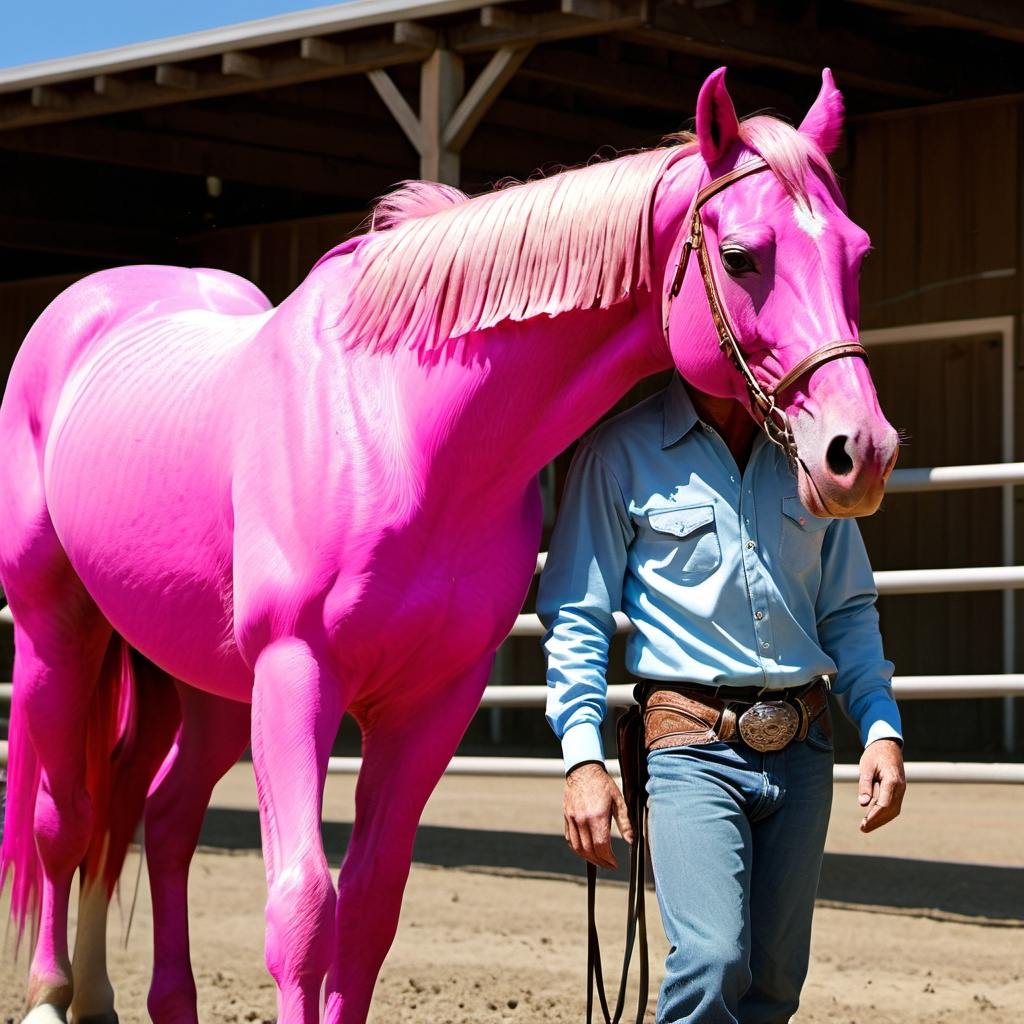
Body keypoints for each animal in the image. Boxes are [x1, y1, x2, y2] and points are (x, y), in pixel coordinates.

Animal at [0, 66, 898, 1024]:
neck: (401, 428)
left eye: (856, 253)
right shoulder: (295, 673)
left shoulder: (431, 701)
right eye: (739, 256)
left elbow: (369, 908)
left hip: (198, 679)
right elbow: (303, 909)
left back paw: (120, 996)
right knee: (67, 817)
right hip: (62, 636)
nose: (861, 451)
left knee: (152, 817)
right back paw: (53, 994)